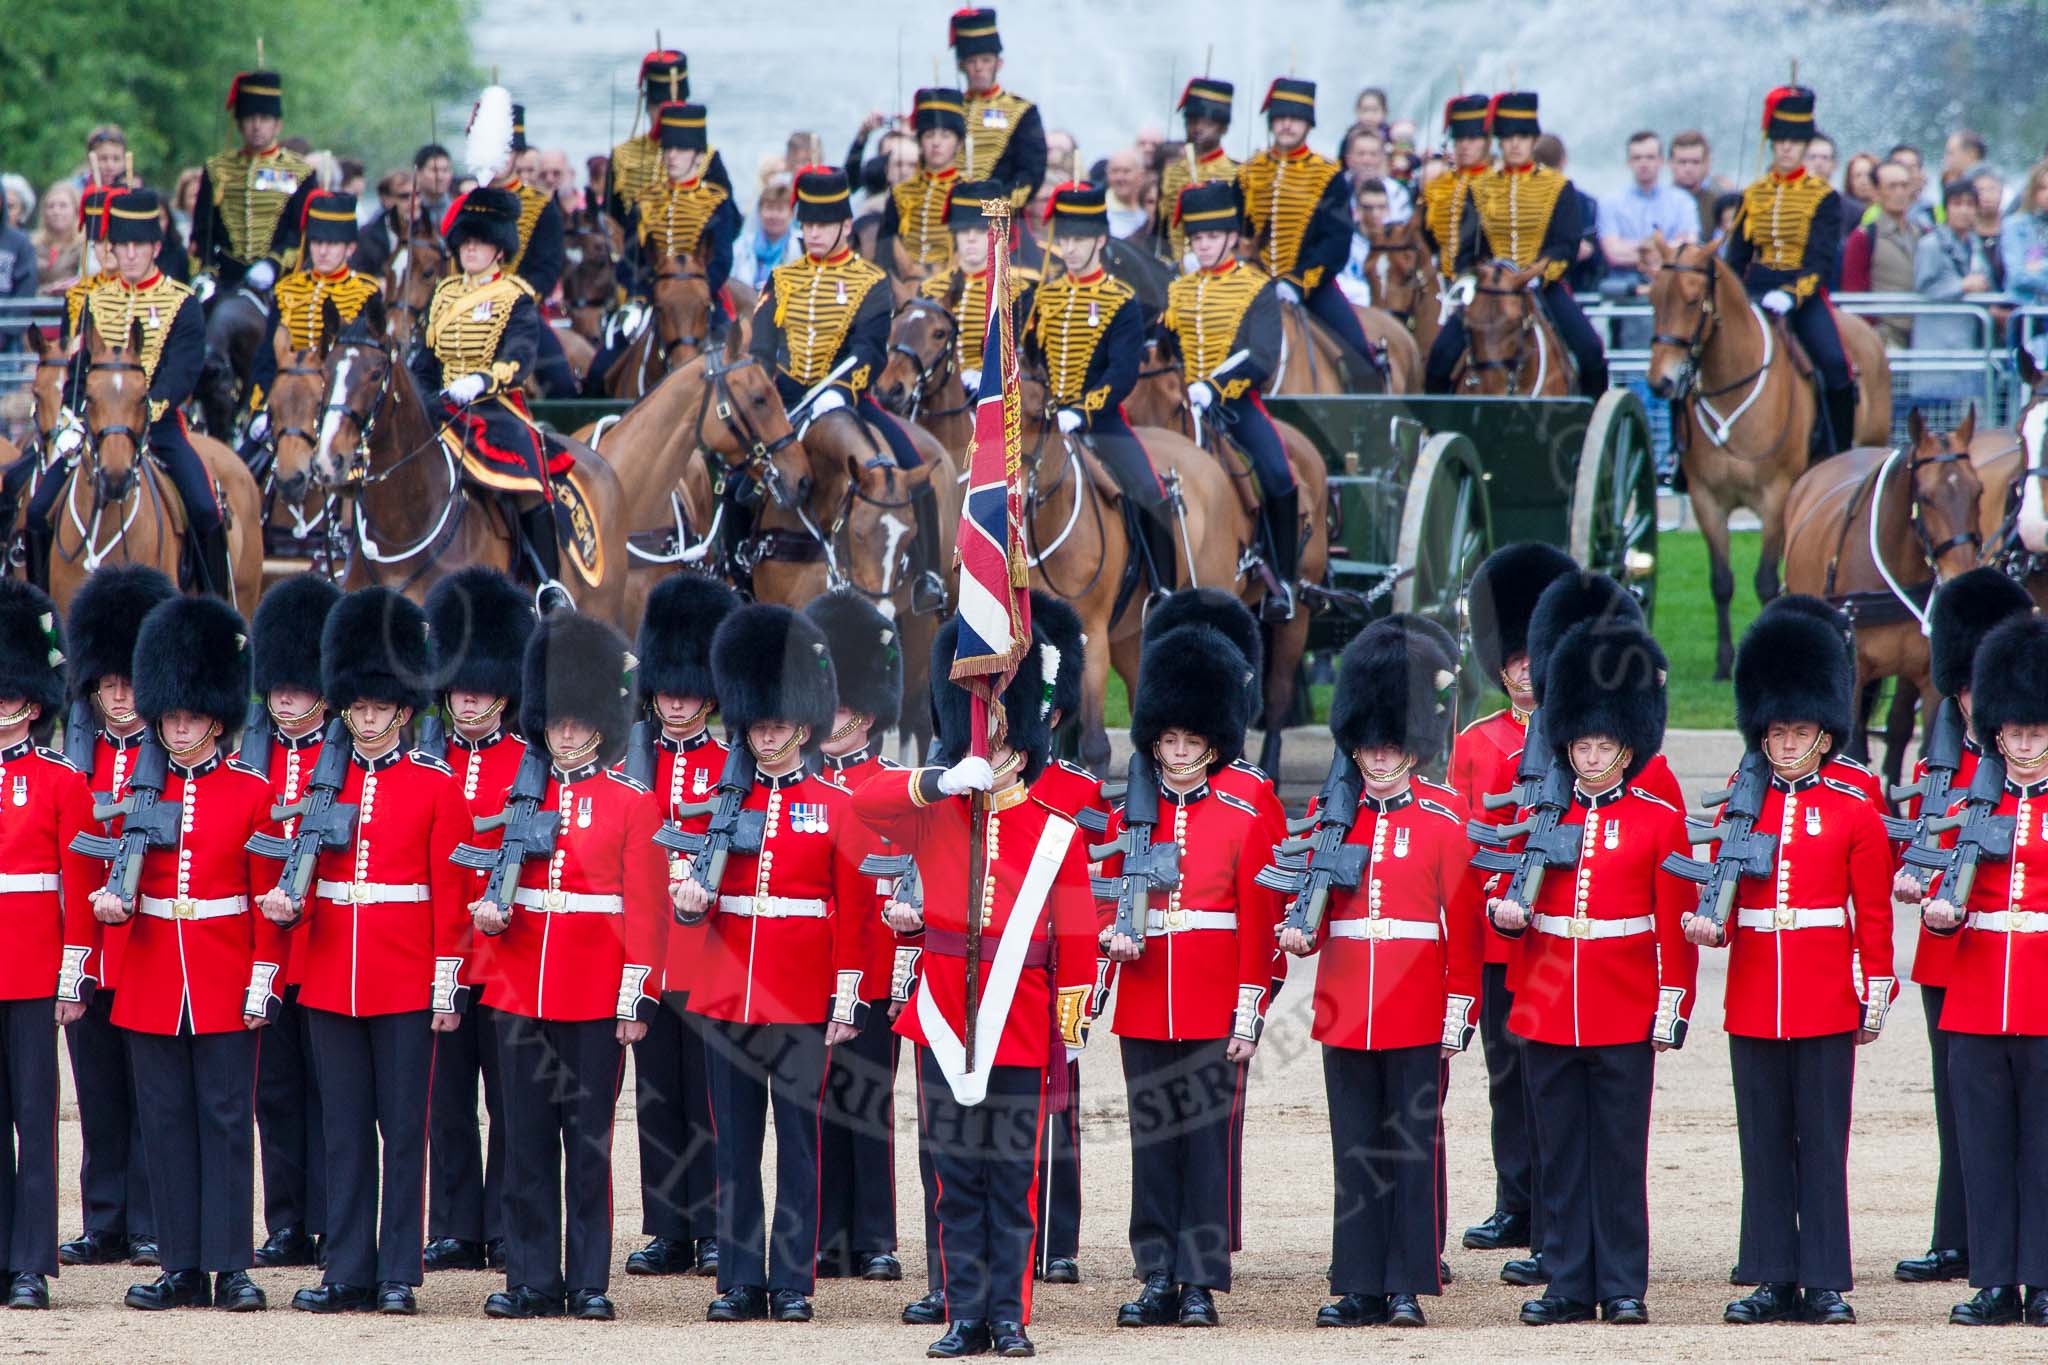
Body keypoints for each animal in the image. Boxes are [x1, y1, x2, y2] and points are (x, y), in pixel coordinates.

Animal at [1646, 241, 1884, 683]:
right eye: (1652, 298)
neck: (1731, 390)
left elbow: (1766, 581)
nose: (1660, 382)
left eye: (1692, 300)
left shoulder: (1775, 497)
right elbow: (1722, 581)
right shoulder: (1706, 499)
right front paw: (1724, 663)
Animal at [1785, 411, 1990, 785]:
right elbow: (1851, 748)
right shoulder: (1854, 673)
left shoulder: (1928, 681)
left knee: (1897, 730)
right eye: (1926, 497)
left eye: (1978, 491)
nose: (1962, 575)